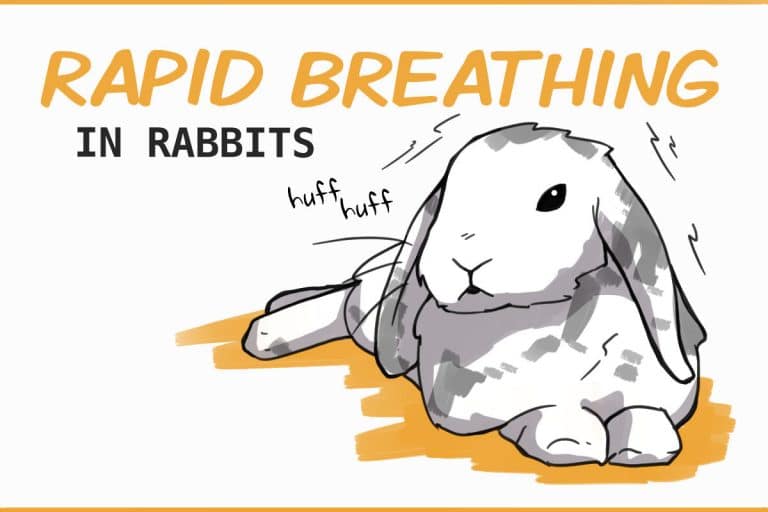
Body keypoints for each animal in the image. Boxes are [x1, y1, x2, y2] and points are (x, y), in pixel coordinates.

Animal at [242, 122, 706, 467]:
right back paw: (265, 334)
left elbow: (645, 412)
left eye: (554, 196)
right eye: (450, 193)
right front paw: (573, 440)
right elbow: (540, 412)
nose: (462, 258)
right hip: (367, 305)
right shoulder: (467, 402)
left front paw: (646, 445)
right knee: (340, 305)